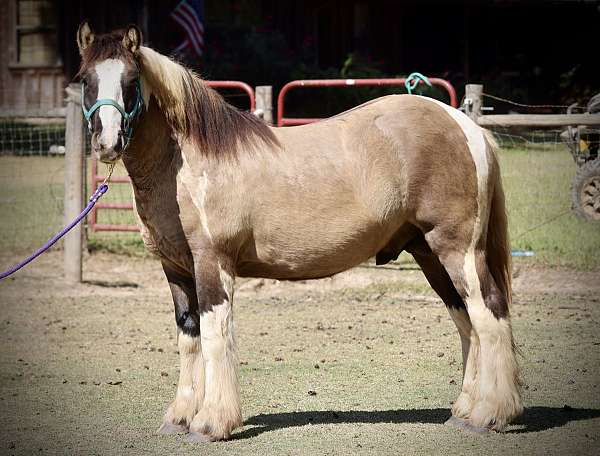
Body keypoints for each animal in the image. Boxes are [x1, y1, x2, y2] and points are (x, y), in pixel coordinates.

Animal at [77, 22, 524, 442]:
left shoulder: (212, 263)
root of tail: (466, 126)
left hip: (457, 250)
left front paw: (211, 422)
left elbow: (215, 336)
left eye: (131, 80)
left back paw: (490, 415)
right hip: (429, 253)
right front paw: (179, 417)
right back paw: (465, 410)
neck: (187, 162)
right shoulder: (175, 268)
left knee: (489, 314)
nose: (107, 141)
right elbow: (189, 337)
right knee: (466, 322)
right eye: (85, 79)